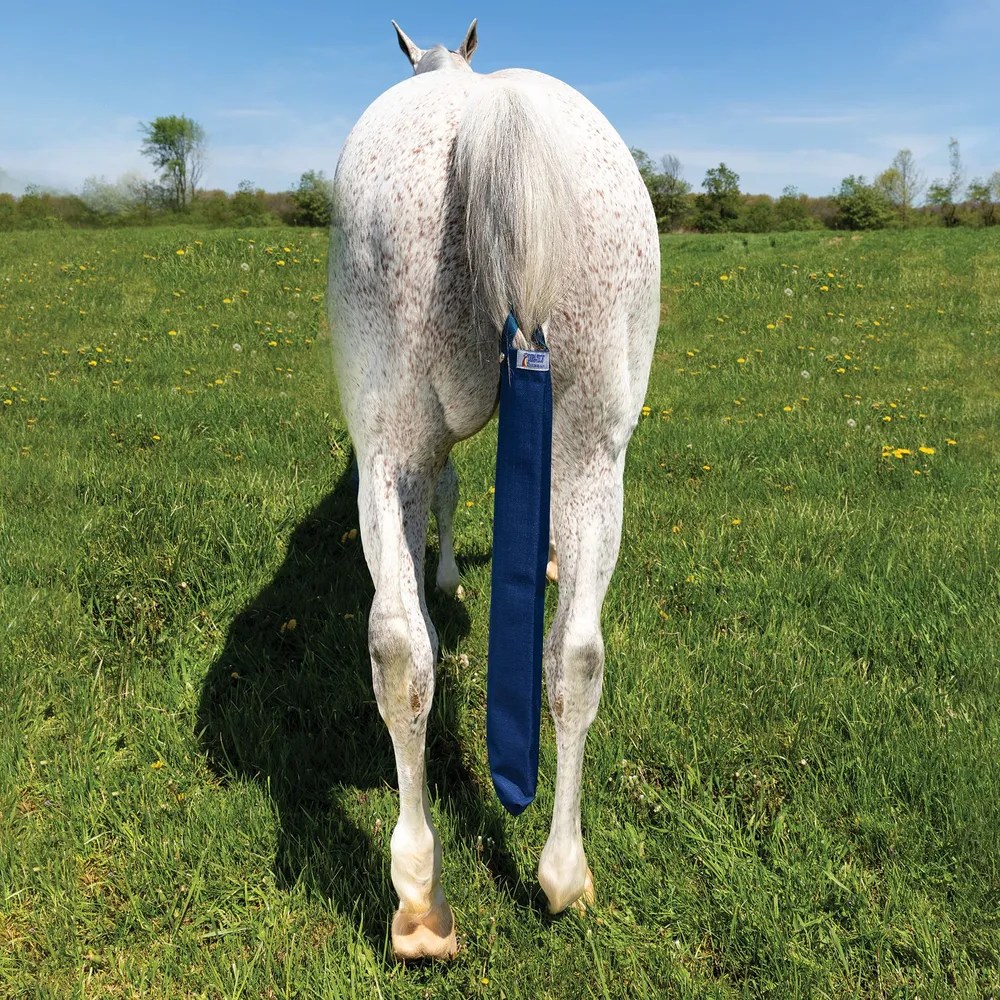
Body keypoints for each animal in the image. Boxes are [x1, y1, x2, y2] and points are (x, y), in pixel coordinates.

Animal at [328, 19, 660, 960]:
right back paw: (525, 881)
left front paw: (447, 576)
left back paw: (430, 897)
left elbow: (445, 497)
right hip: (584, 451)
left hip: (399, 445)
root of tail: (485, 116)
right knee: (546, 653)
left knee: (413, 647)